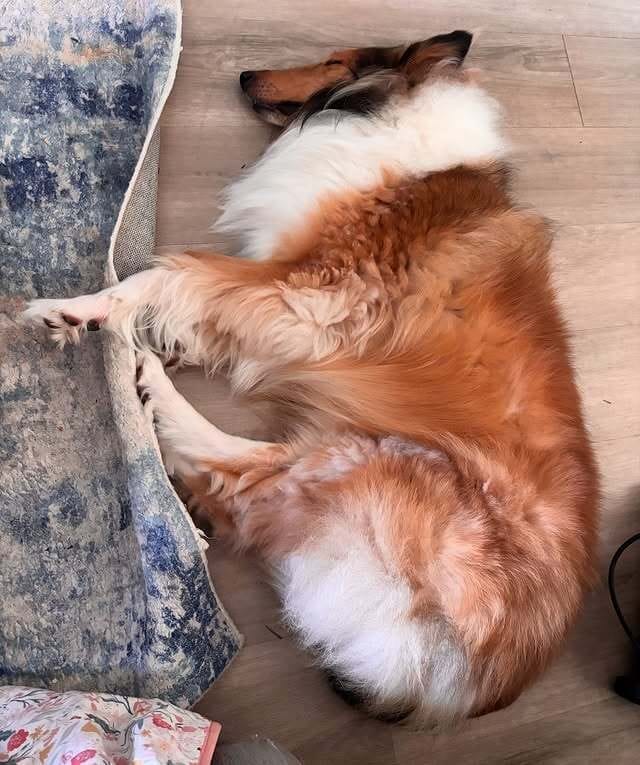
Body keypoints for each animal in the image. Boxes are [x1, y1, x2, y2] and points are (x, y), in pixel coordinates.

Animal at [25, 31, 599, 727]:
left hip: (381, 458)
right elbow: (190, 300)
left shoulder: (320, 291)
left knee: (239, 484)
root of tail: (467, 685)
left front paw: (76, 311)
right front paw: (163, 334)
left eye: (333, 60)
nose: (244, 74)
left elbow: (165, 272)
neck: (391, 114)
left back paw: (155, 391)